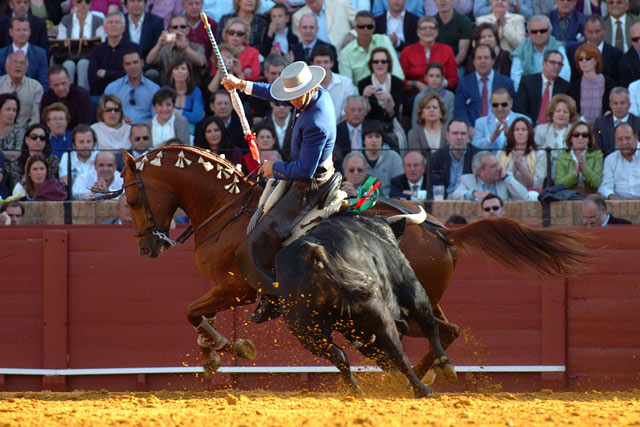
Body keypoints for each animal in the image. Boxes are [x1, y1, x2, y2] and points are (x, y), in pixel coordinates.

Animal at [274, 212, 456, 400]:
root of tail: (314, 256)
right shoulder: (410, 287)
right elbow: (428, 325)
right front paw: (444, 364)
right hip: (378, 311)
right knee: (399, 351)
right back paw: (422, 390)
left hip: (307, 332)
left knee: (339, 357)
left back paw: (357, 389)